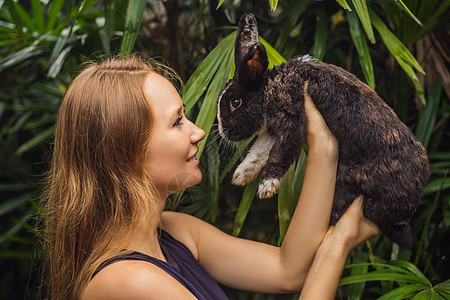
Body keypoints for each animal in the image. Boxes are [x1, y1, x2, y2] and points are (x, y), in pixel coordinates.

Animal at [216, 12, 430, 248]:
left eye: (235, 102)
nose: (223, 132)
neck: (270, 88)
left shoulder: (292, 121)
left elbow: (278, 155)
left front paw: (266, 187)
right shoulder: (271, 131)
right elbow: (259, 152)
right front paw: (241, 175)